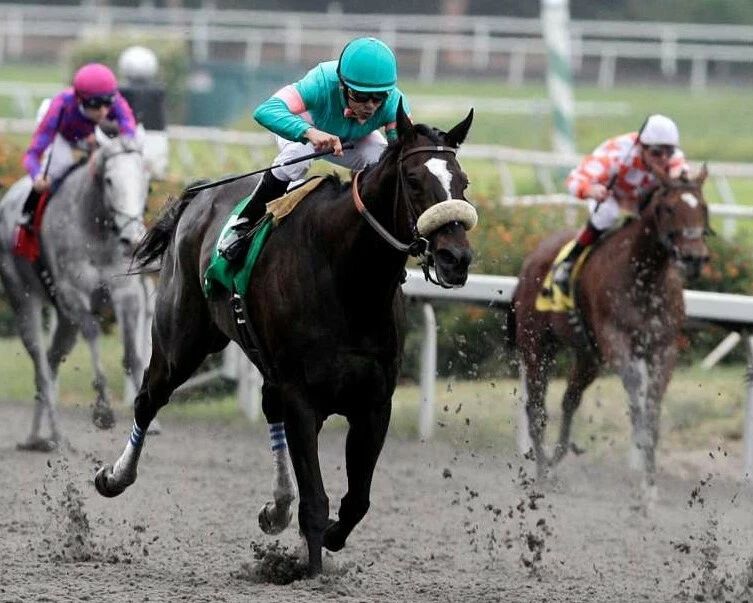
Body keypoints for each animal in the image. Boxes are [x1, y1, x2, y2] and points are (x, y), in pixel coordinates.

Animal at [0, 129, 150, 451]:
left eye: (145, 180)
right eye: (109, 180)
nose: (132, 238)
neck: (96, 229)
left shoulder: (127, 294)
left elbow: (133, 355)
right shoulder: (74, 294)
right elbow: (93, 333)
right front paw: (103, 411)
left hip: (65, 320)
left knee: (52, 360)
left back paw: (36, 436)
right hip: (24, 301)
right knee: (42, 367)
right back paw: (56, 435)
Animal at [94, 102, 477, 575]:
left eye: (463, 181)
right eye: (414, 180)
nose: (456, 258)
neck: (347, 277)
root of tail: (199, 196)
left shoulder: (373, 401)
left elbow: (358, 500)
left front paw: (327, 538)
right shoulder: (302, 395)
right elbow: (316, 499)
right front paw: (309, 570)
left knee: (266, 407)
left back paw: (277, 509)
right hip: (181, 341)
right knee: (149, 398)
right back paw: (115, 477)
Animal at [509, 167, 710, 510]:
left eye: (703, 207)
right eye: (669, 208)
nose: (694, 258)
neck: (644, 276)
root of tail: (533, 257)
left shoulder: (663, 348)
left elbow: (652, 411)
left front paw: (649, 487)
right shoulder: (616, 341)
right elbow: (638, 403)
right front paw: (642, 484)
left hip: (588, 357)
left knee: (569, 400)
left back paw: (557, 458)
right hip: (536, 343)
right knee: (536, 409)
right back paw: (543, 473)